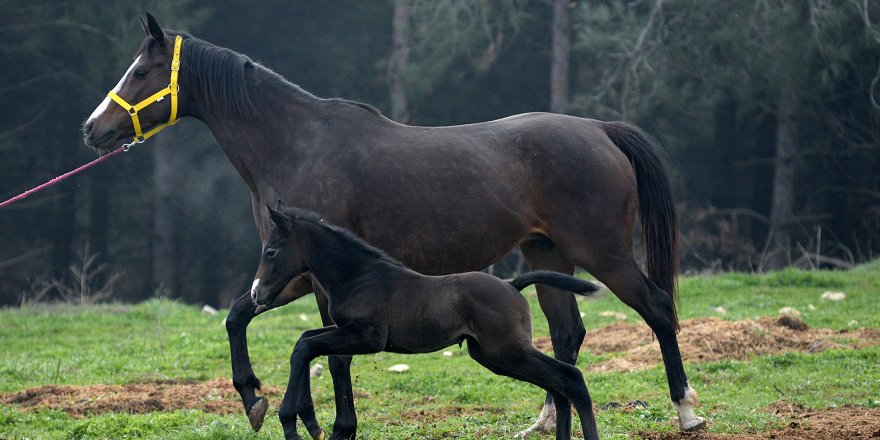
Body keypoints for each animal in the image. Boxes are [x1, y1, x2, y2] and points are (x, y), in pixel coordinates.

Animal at [251, 205, 600, 440]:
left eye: (271, 251)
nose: (257, 294)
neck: (359, 276)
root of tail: (513, 284)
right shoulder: (345, 330)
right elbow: (304, 340)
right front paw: (307, 422)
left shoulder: (367, 336)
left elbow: (305, 347)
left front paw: (291, 422)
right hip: (491, 355)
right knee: (558, 384)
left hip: (507, 350)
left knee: (570, 378)